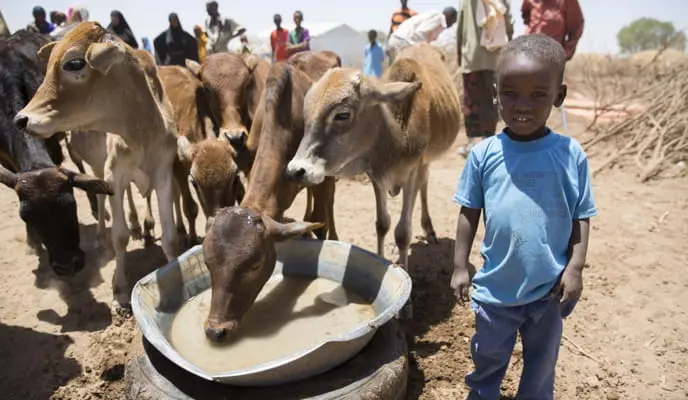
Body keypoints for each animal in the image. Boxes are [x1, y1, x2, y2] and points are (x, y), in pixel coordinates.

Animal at [14, 22, 180, 312]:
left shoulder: (163, 174)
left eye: (74, 63)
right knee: (102, 200)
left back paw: (142, 226)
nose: (21, 119)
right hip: (98, 167)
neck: (141, 131)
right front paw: (119, 292)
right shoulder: (114, 175)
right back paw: (104, 234)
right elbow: (120, 237)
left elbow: (169, 237)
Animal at [284, 43, 462, 272]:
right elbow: (382, 224)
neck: (399, 133)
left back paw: (429, 229)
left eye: (343, 114)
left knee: (424, 183)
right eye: (306, 113)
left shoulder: (412, 172)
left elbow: (403, 232)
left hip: (425, 162)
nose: (297, 170)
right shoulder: (376, 175)